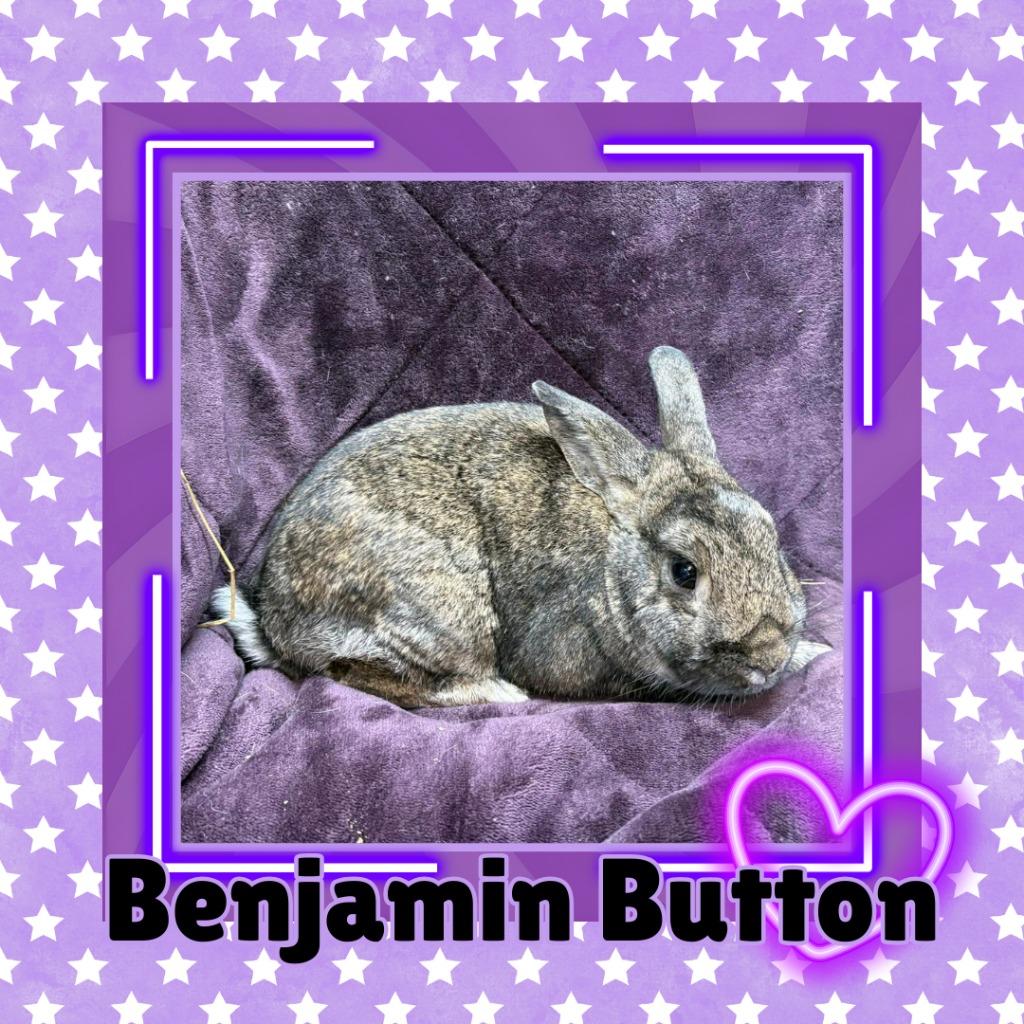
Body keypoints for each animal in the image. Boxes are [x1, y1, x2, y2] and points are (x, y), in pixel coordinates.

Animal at [211, 346, 829, 708]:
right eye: (684, 572)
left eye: (771, 537)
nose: (769, 653)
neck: (613, 567)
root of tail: (276, 620)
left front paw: (813, 653)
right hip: (437, 614)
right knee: (358, 674)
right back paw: (496, 692)